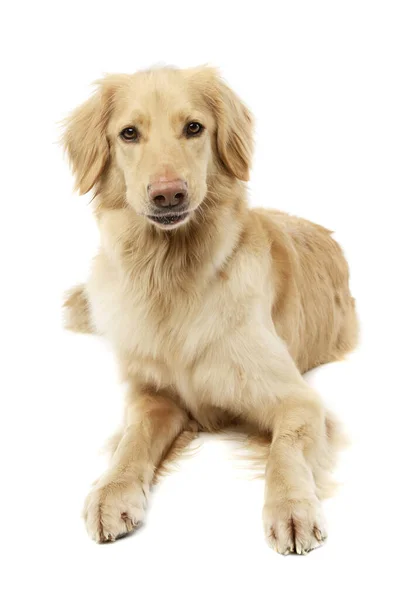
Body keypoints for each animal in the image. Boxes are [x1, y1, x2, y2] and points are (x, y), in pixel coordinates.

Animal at [63, 65, 360, 552]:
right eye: (129, 133)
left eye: (193, 128)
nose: (169, 195)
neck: (172, 278)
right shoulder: (154, 396)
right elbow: (132, 440)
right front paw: (112, 490)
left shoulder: (298, 399)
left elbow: (285, 450)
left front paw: (292, 506)